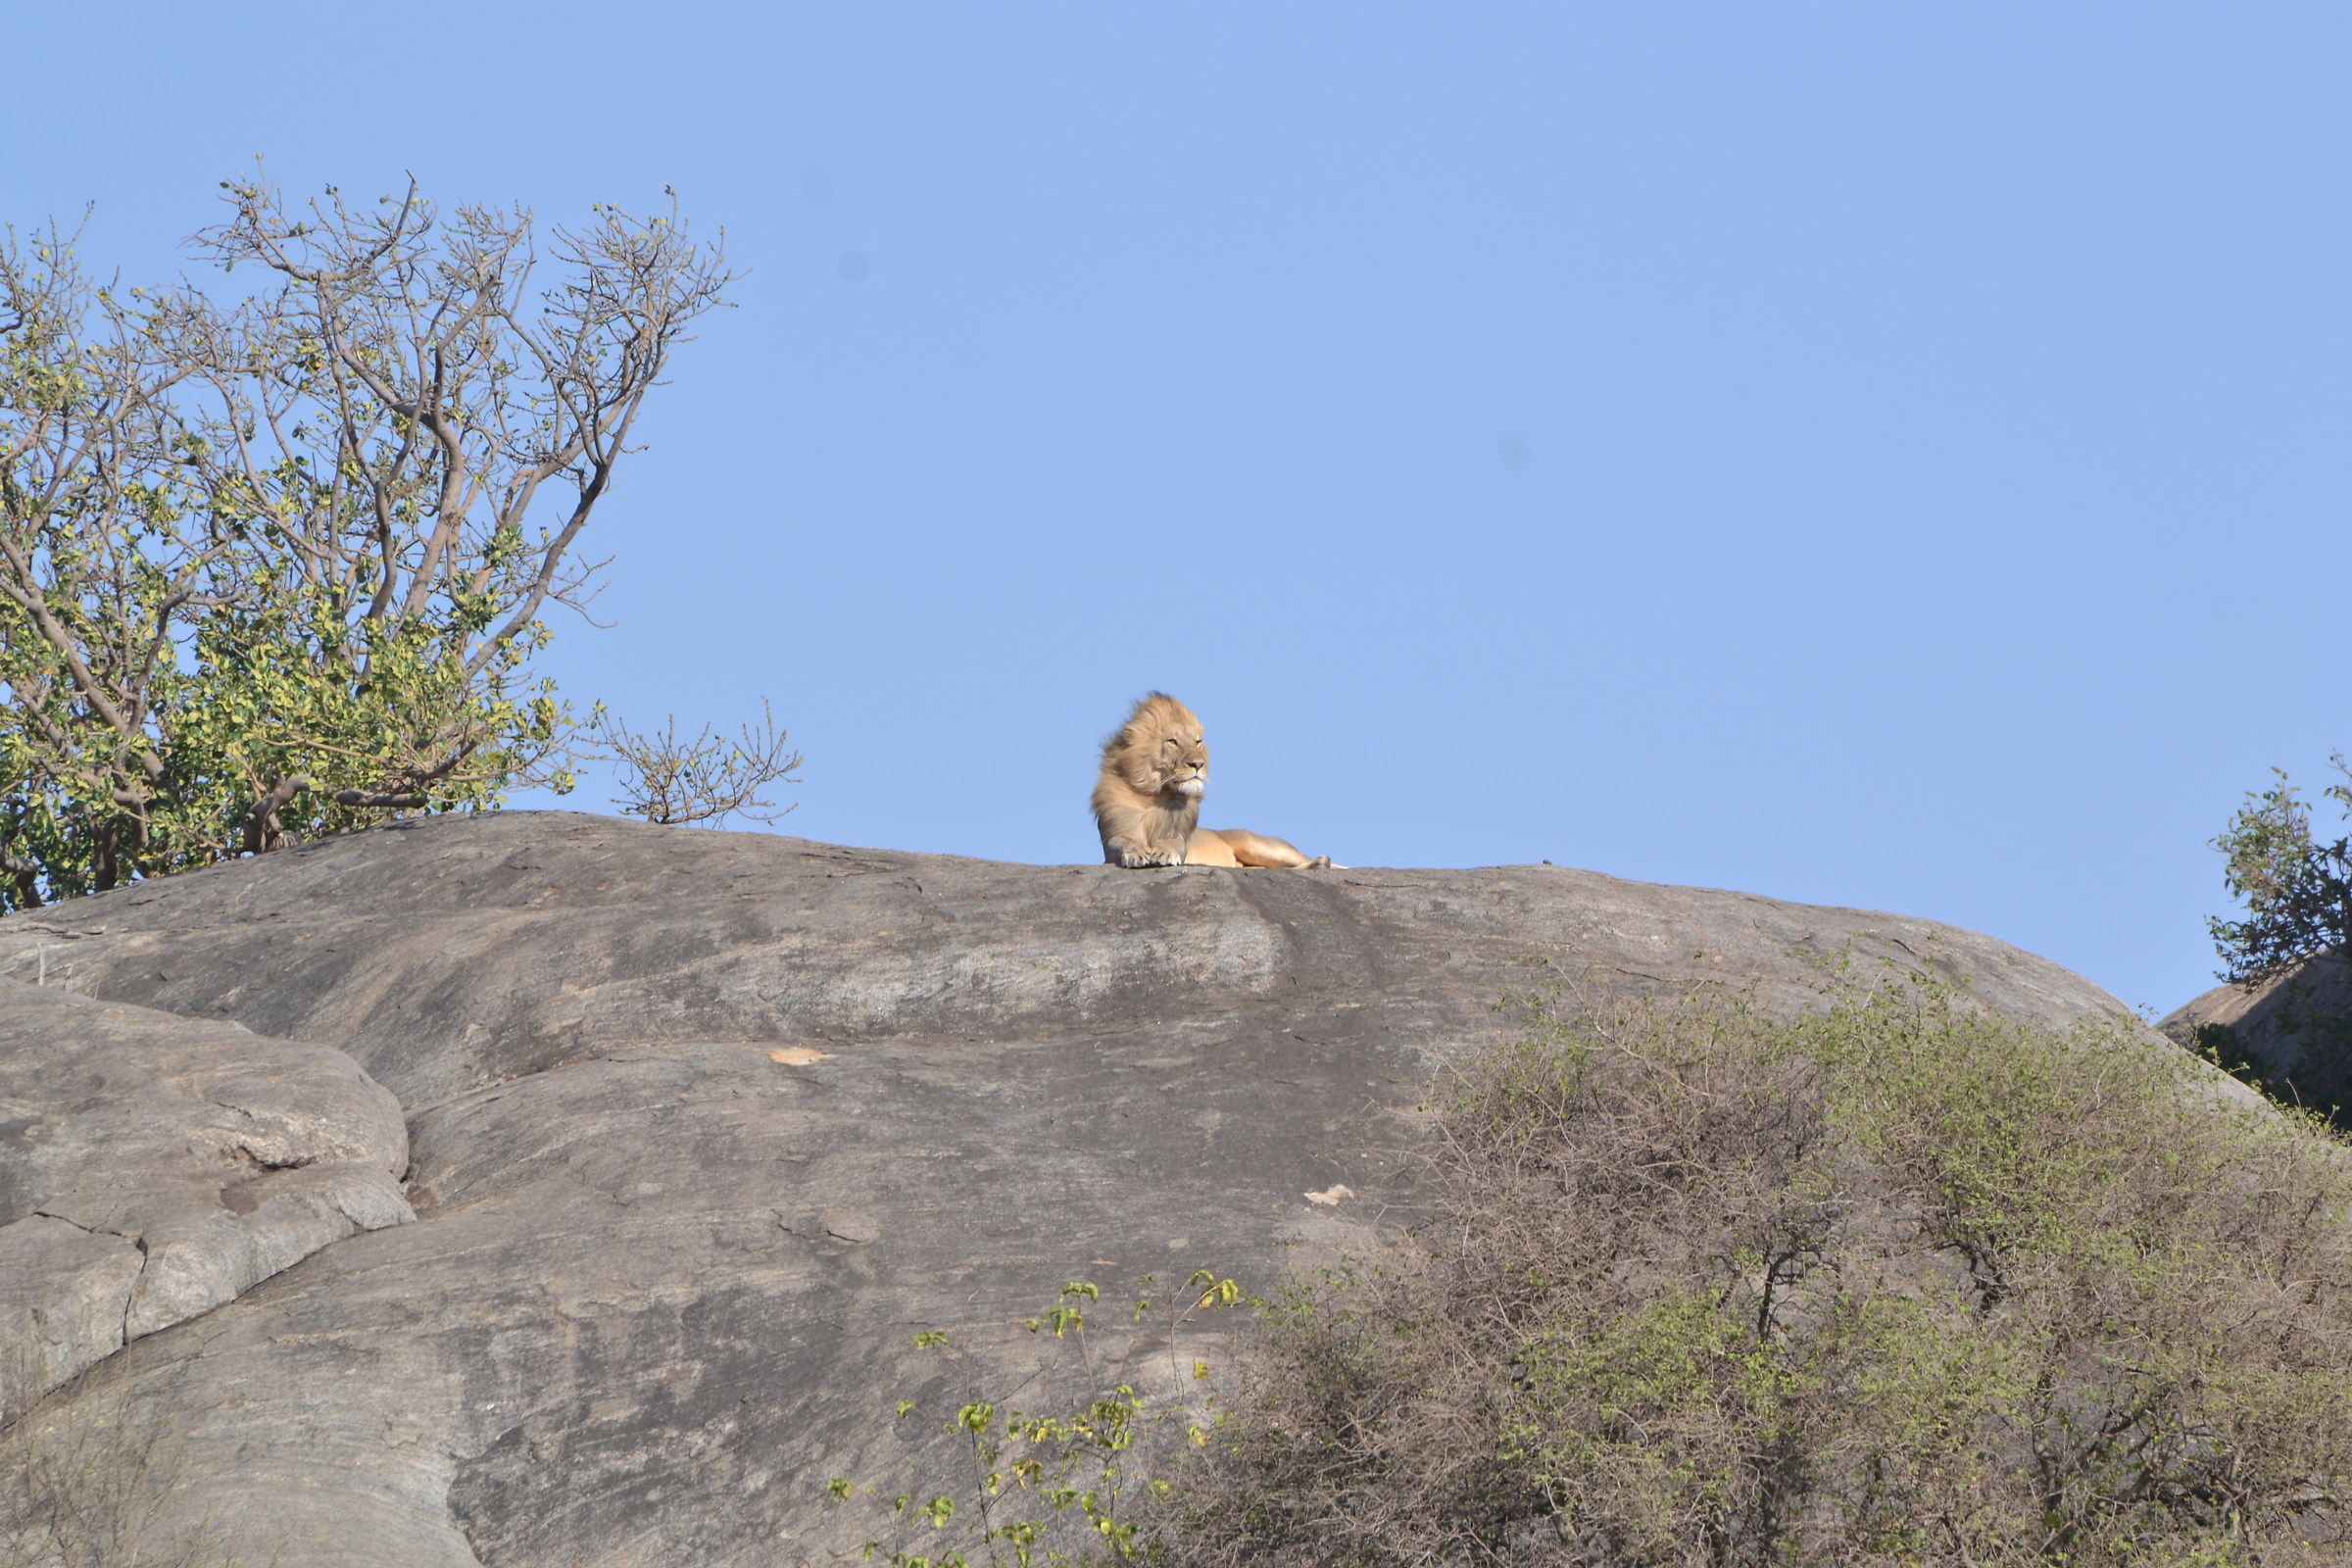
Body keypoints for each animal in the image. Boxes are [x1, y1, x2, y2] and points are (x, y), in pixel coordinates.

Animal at [1091, 693, 1333, 869]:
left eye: (1198, 742)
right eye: (1172, 741)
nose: (1198, 764)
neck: (1153, 794)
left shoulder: (1181, 839)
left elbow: (1173, 843)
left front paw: (1165, 853)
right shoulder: (1112, 838)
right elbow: (1121, 841)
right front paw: (1136, 852)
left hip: (1257, 845)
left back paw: (1321, 862)